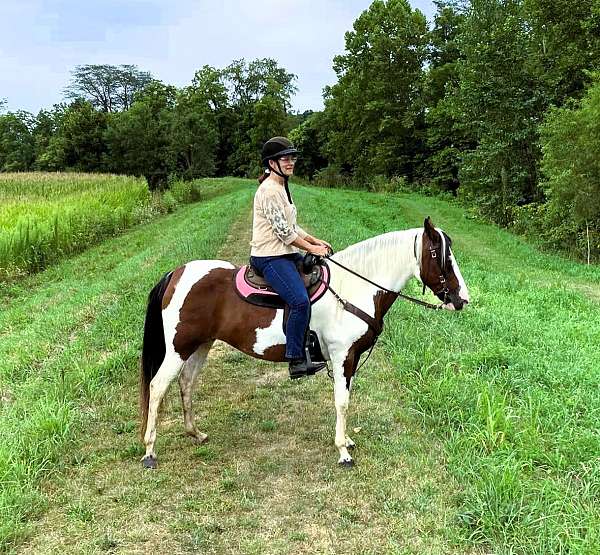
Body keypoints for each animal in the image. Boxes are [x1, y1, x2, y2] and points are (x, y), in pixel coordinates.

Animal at [139, 217, 468, 470]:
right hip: (179, 347)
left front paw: (347, 440)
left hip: (201, 345)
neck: (354, 289)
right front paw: (343, 452)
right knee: (158, 387)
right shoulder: (342, 356)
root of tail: (176, 274)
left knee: (186, 383)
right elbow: (342, 401)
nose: (462, 299)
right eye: (440, 255)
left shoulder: (349, 360)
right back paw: (149, 451)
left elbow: (345, 399)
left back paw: (195, 433)